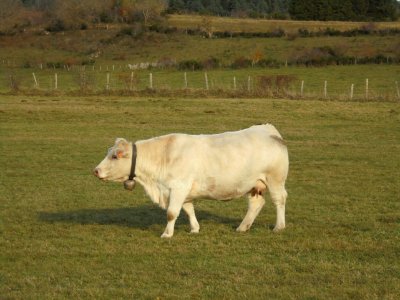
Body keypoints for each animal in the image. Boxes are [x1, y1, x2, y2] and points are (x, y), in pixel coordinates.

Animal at [94, 123, 288, 238]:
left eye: (114, 156)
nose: (96, 170)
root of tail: (268, 130)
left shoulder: (179, 187)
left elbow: (172, 212)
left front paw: (167, 234)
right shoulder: (183, 191)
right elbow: (188, 210)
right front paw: (195, 228)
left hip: (275, 180)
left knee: (279, 200)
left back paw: (279, 226)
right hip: (254, 185)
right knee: (256, 203)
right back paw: (242, 227)